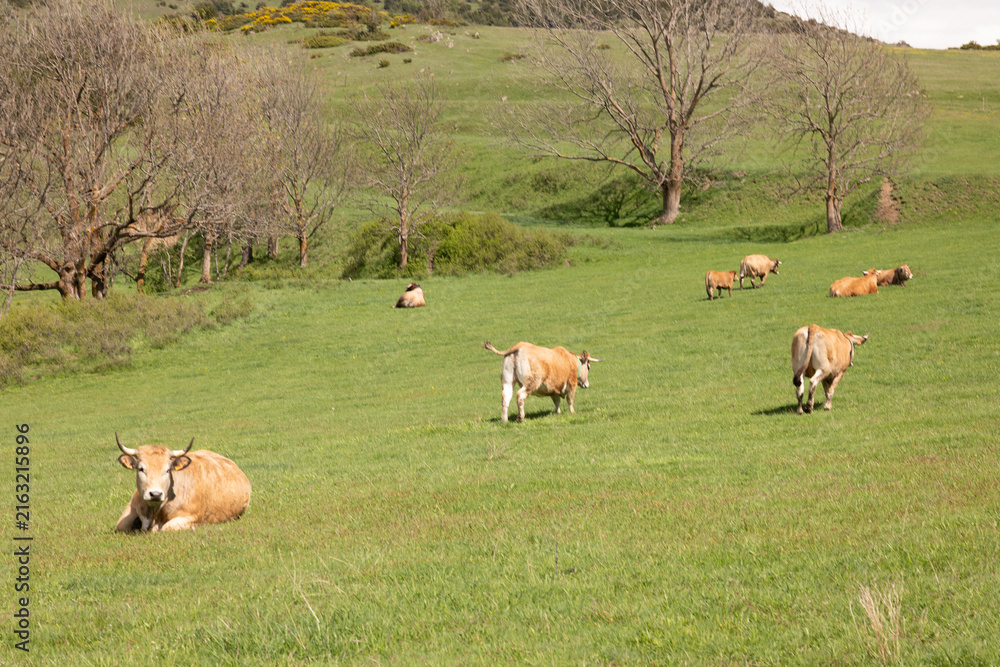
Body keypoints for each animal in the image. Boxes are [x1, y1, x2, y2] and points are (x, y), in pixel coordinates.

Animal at [114, 433, 251, 533]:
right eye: (141, 468)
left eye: (167, 469)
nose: (155, 494)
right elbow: (121, 525)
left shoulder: (190, 516)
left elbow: (166, 528)